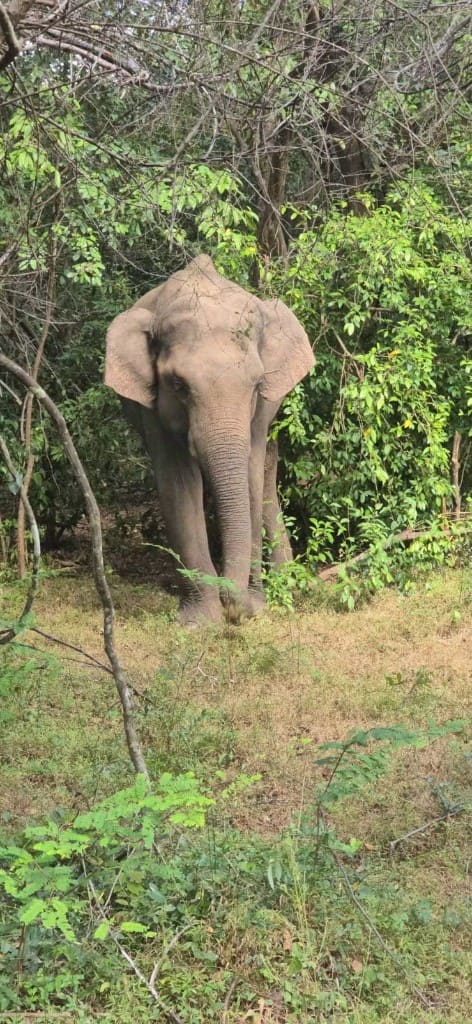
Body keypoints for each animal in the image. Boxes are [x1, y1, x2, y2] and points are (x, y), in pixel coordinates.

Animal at [105, 254, 314, 625]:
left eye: (256, 383)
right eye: (178, 385)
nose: (233, 606)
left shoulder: (261, 407)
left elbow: (249, 474)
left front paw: (253, 608)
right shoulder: (151, 410)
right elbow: (177, 484)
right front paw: (200, 623)